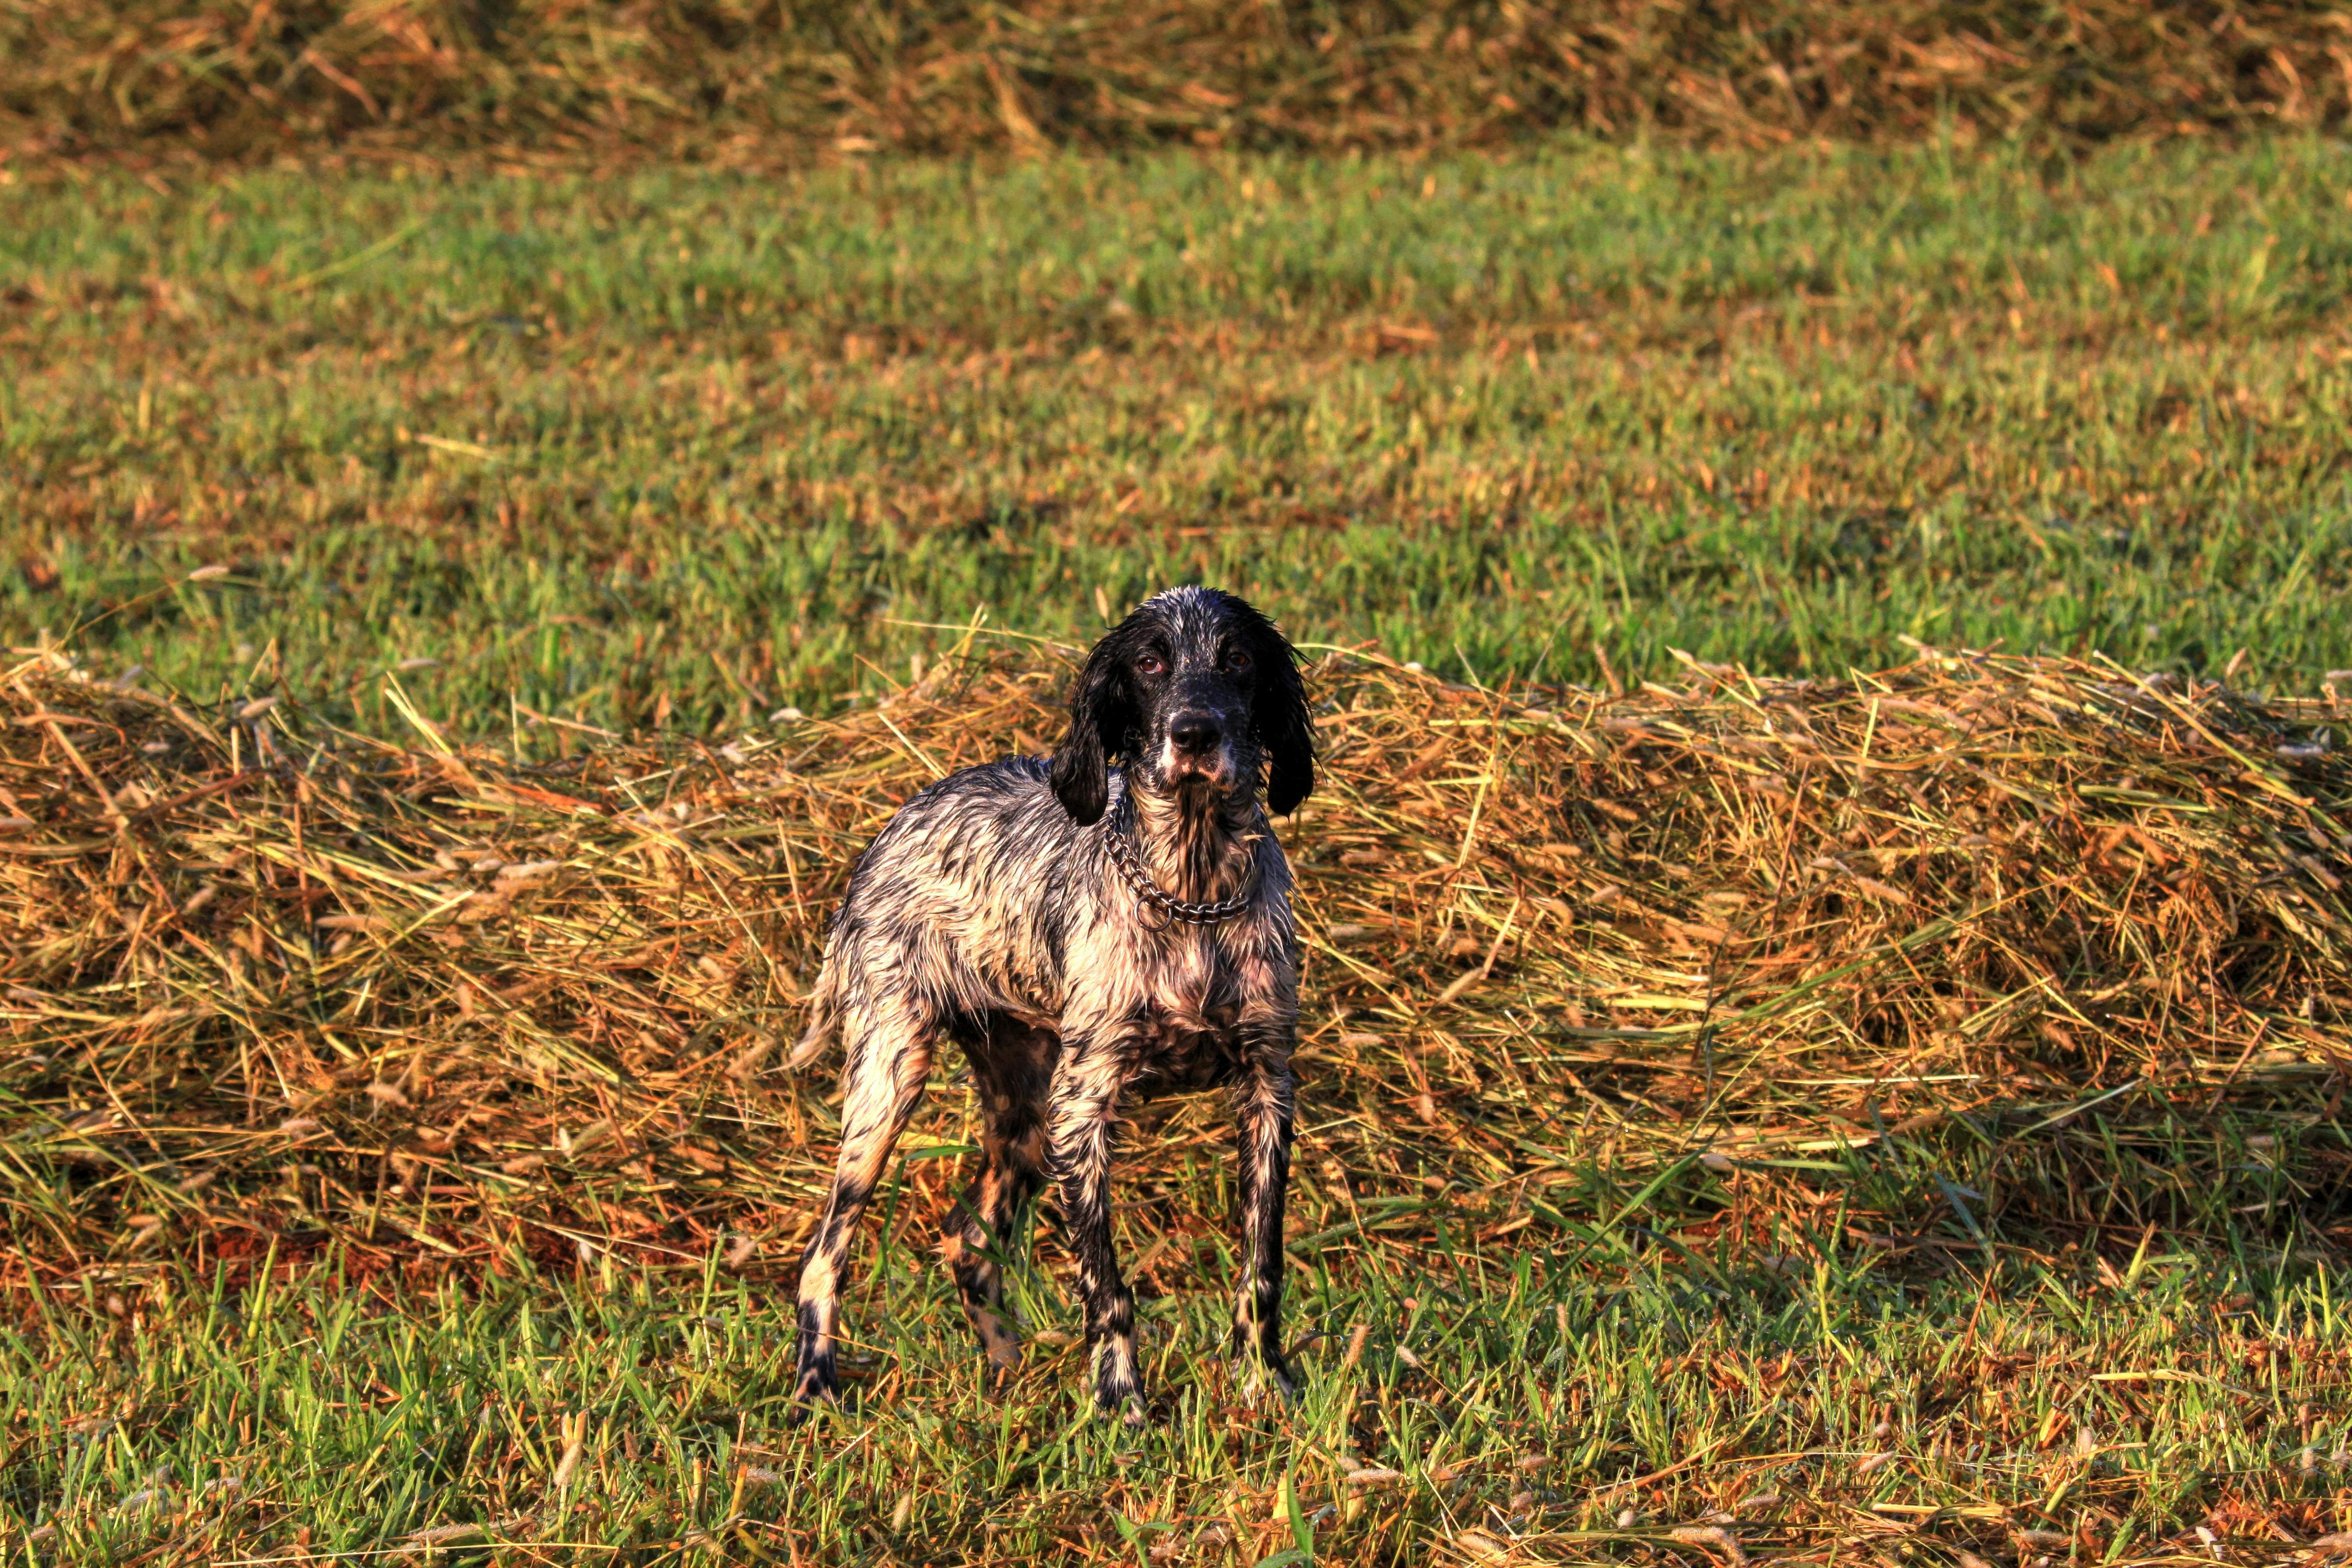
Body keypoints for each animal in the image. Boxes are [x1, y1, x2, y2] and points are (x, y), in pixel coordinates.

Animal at [781, 588, 1317, 1420]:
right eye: (1150, 663)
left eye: (1237, 659)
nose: (1194, 731)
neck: (1192, 897)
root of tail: (890, 829)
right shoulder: (1083, 1109)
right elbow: (1107, 1286)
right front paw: (1121, 1403)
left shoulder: (1268, 1090)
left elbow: (1261, 1266)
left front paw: (1266, 1383)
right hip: (890, 1085)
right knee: (824, 1254)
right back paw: (817, 1386)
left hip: (1024, 1115)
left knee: (967, 1240)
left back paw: (1004, 1372)